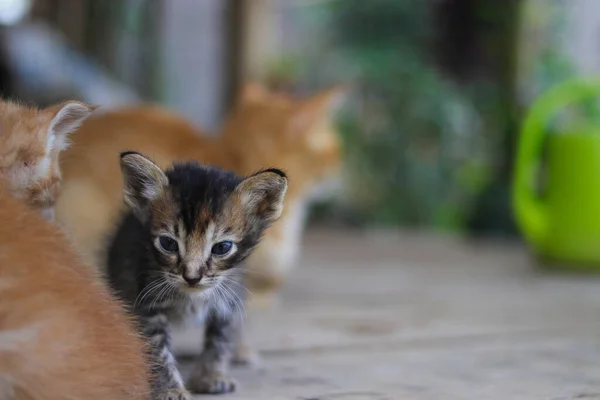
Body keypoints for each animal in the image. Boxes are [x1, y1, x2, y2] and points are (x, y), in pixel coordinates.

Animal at [106, 152, 288, 398]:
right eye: (168, 244)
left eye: (222, 247)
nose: (192, 277)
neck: (192, 297)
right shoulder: (146, 303)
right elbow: (157, 349)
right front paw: (169, 388)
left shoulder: (227, 298)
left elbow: (220, 339)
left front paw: (211, 376)